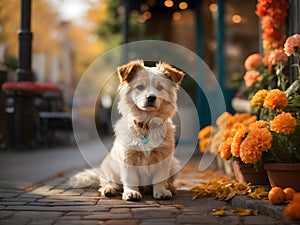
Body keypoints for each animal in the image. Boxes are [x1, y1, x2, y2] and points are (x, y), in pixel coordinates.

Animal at [70, 59, 185, 200]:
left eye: (160, 88)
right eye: (140, 87)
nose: (151, 97)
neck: (146, 124)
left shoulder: (163, 157)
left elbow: (160, 177)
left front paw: (161, 191)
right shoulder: (128, 158)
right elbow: (130, 178)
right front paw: (131, 192)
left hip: (174, 164)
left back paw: (171, 188)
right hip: (108, 168)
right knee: (106, 182)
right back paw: (109, 189)